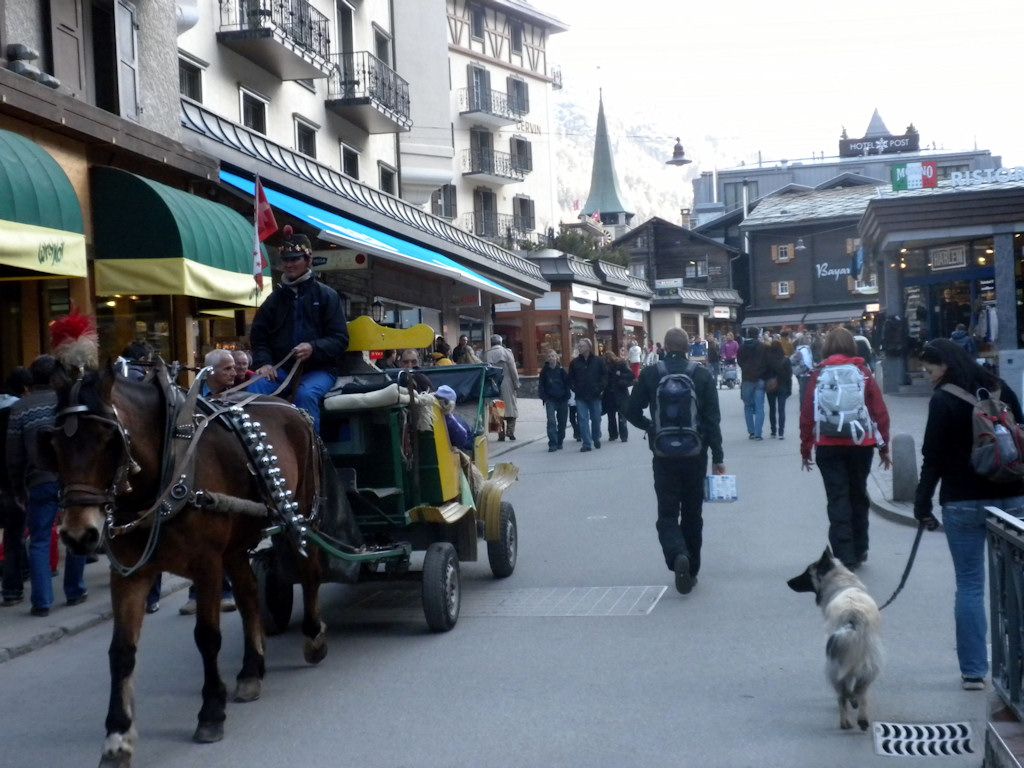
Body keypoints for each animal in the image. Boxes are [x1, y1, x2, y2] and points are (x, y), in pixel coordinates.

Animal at [44, 362, 356, 768]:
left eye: (108, 439)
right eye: (54, 445)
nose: (79, 534)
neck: (167, 464)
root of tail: (292, 407)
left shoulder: (207, 565)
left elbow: (207, 638)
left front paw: (211, 712)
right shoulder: (129, 573)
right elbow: (121, 652)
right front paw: (117, 736)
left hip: (299, 516)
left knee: (310, 573)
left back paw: (314, 637)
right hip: (237, 545)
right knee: (249, 594)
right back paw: (251, 670)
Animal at [790, 548, 880, 733]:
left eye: (806, 573)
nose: (788, 582)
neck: (842, 581)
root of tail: (854, 617)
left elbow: (843, 694)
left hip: (834, 664)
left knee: (842, 695)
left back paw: (845, 721)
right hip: (869, 667)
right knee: (861, 693)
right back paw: (862, 718)